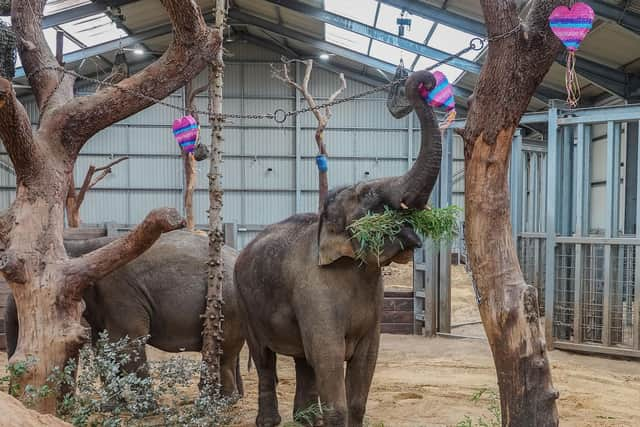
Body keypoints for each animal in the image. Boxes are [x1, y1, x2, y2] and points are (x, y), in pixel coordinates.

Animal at [235, 68, 444, 426]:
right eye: (367, 196)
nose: (423, 82)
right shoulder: (314, 291)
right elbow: (328, 357)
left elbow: (364, 364)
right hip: (244, 302)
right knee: (264, 358)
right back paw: (271, 421)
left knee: (303, 361)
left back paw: (305, 420)